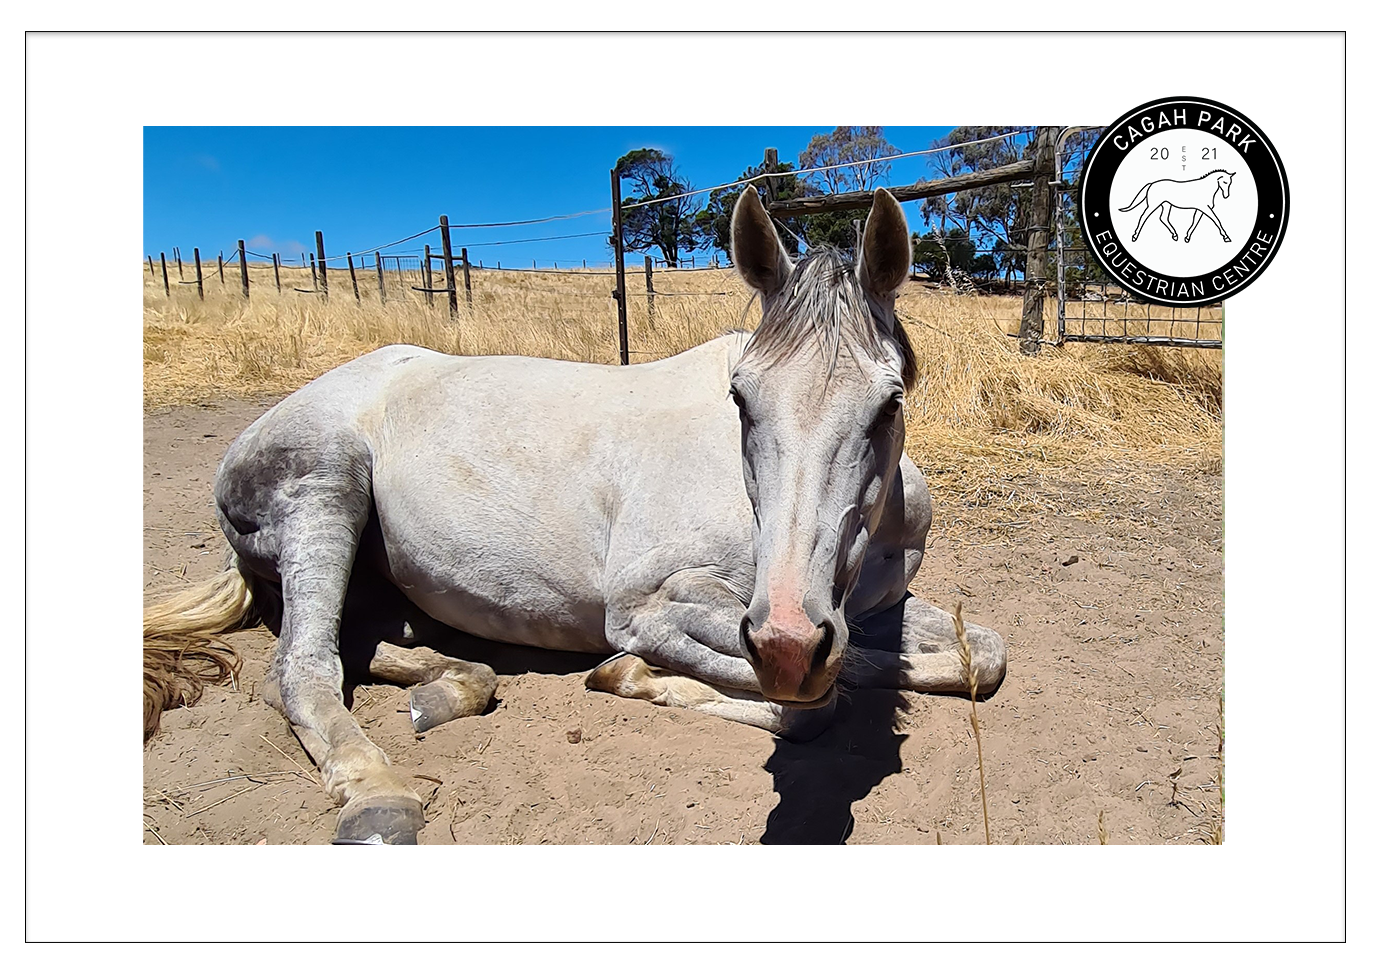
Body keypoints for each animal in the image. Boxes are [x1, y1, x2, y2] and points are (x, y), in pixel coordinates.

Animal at [145, 185, 1011, 840]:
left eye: (888, 404)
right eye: (739, 398)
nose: (790, 645)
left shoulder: (867, 610)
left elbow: (982, 655)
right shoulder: (651, 606)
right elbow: (813, 705)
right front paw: (631, 674)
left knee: (360, 649)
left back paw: (448, 689)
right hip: (327, 492)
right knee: (302, 669)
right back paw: (377, 796)